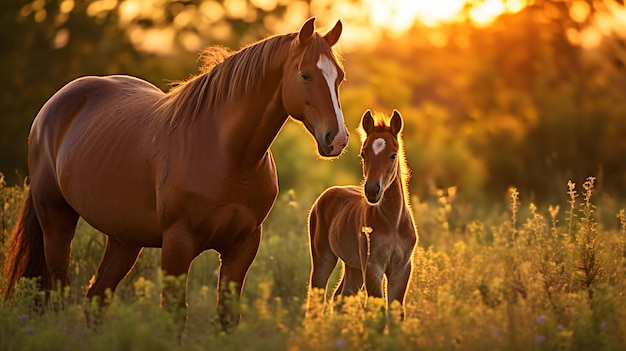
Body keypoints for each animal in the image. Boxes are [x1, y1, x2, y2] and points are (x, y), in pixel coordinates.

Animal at [3, 17, 346, 332]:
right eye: (305, 75)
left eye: (339, 77)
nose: (338, 138)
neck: (227, 155)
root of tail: (53, 106)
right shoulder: (177, 243)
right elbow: (174, 316)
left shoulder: (243, 245)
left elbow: (226, 317)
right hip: (56, 220)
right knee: (62, 294)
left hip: (124, 239)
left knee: (96, 298)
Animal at [306, 110, 414, 320]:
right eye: (363, 154)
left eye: (393, 155)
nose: (372, 190)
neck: (393, 223)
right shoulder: (372, 266)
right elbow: (378, 311)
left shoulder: (402, 268)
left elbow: (397, 314)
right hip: (324, 257)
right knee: (317, 296)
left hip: (353, 265)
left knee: (341, 295)